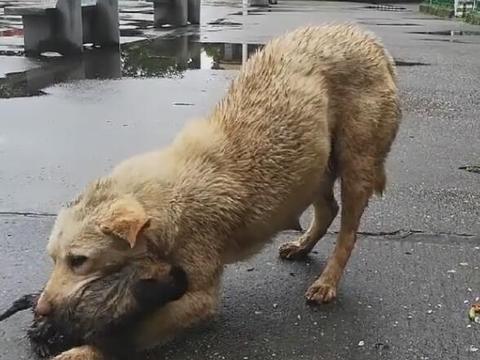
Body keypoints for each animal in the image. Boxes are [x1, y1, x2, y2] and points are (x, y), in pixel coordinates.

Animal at [37, 23, 400, 358]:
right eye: (53, 258)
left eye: (79, 260)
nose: (40, 309)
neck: (168, 199)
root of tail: (367, 38)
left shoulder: (199, 298)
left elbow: (133, 333)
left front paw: (86, 349)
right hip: (314, 168)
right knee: (327, 210)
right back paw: (303, 245)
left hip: (356, 163)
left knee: (347, 233)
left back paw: (328, 281)